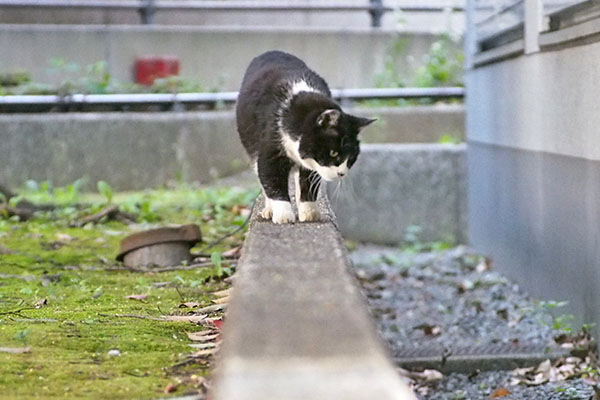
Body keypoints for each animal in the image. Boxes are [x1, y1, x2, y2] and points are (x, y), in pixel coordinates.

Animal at [237, 50, 372, 223]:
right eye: (333, 152)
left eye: (352, 158)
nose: (342, 173)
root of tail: (271, 52)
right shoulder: (270, 148)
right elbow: (272, 179)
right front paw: (283, 215)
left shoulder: (311, 166)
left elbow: (308, 182)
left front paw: (309, 212)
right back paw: (269, 210)